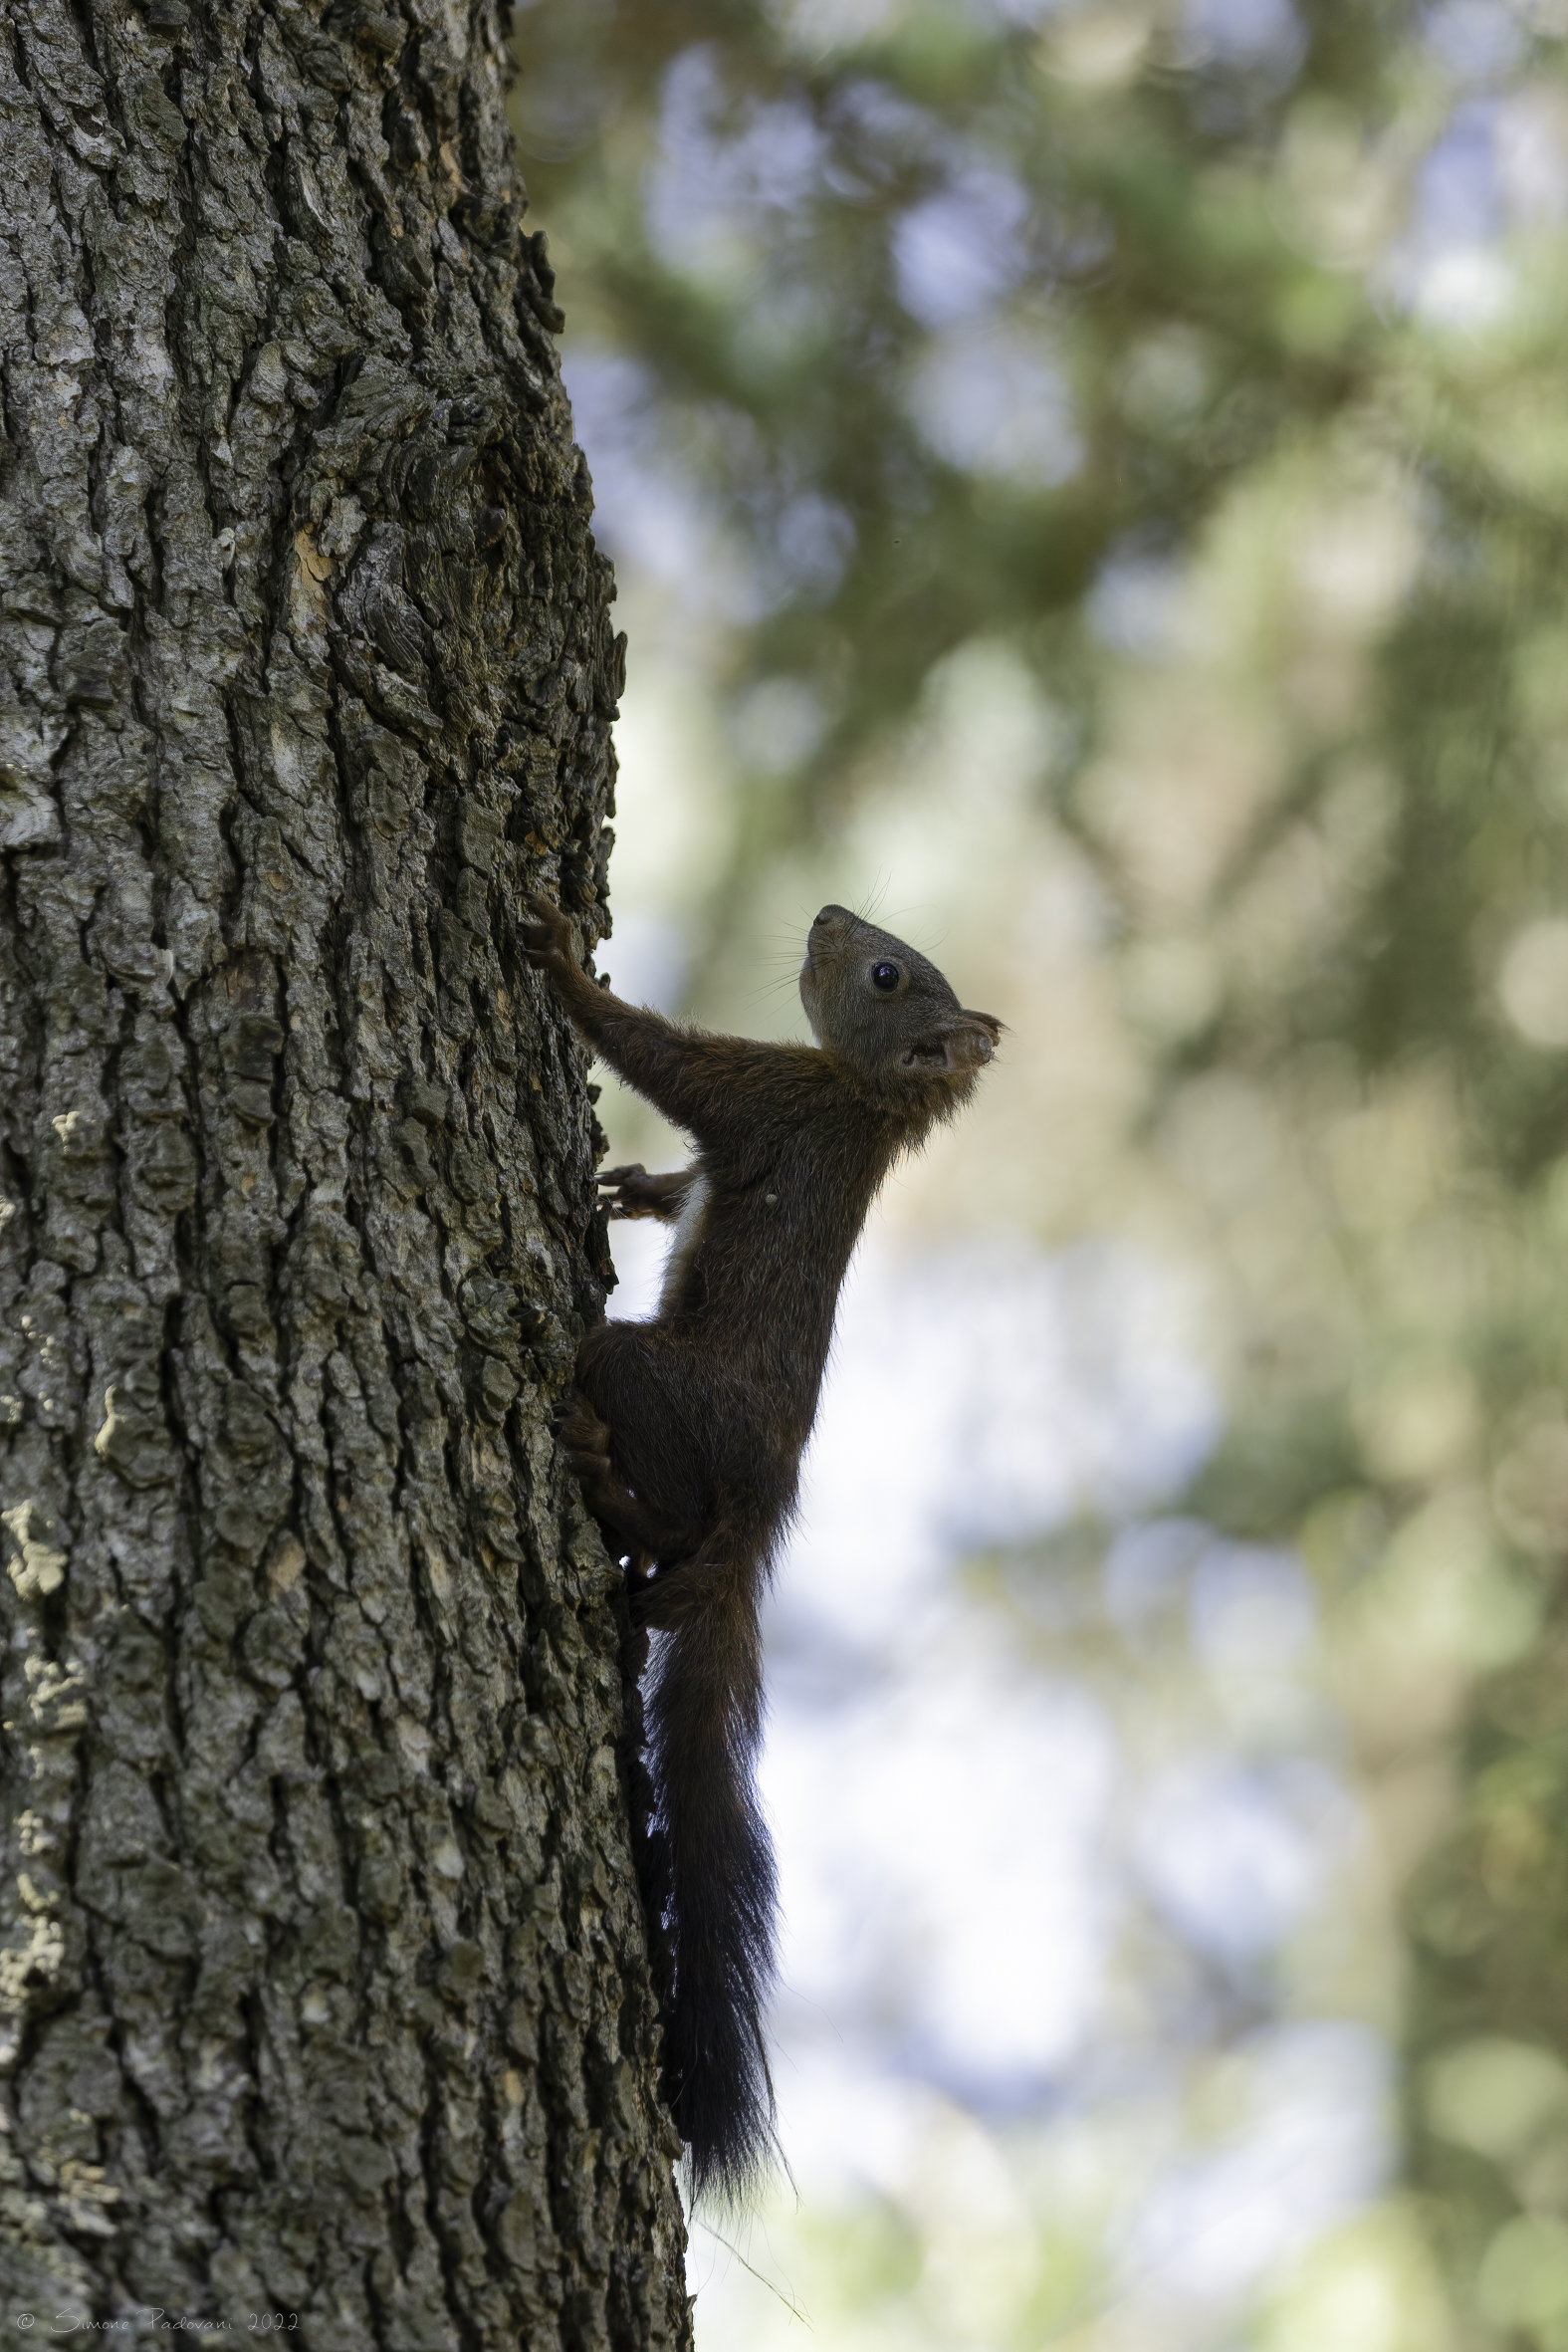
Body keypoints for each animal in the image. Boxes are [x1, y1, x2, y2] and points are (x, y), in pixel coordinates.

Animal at [520, 894, 1001, 2204]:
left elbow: (665, 1059)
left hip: (650, 1382)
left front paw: (561, 963)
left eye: (883, 974)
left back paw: (608, 1485)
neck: (860, 1099)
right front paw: (635, 1184)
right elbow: (684, 1171)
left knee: (655, 1474)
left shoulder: (765, 1095)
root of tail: (760, 1514)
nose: (830, 911)